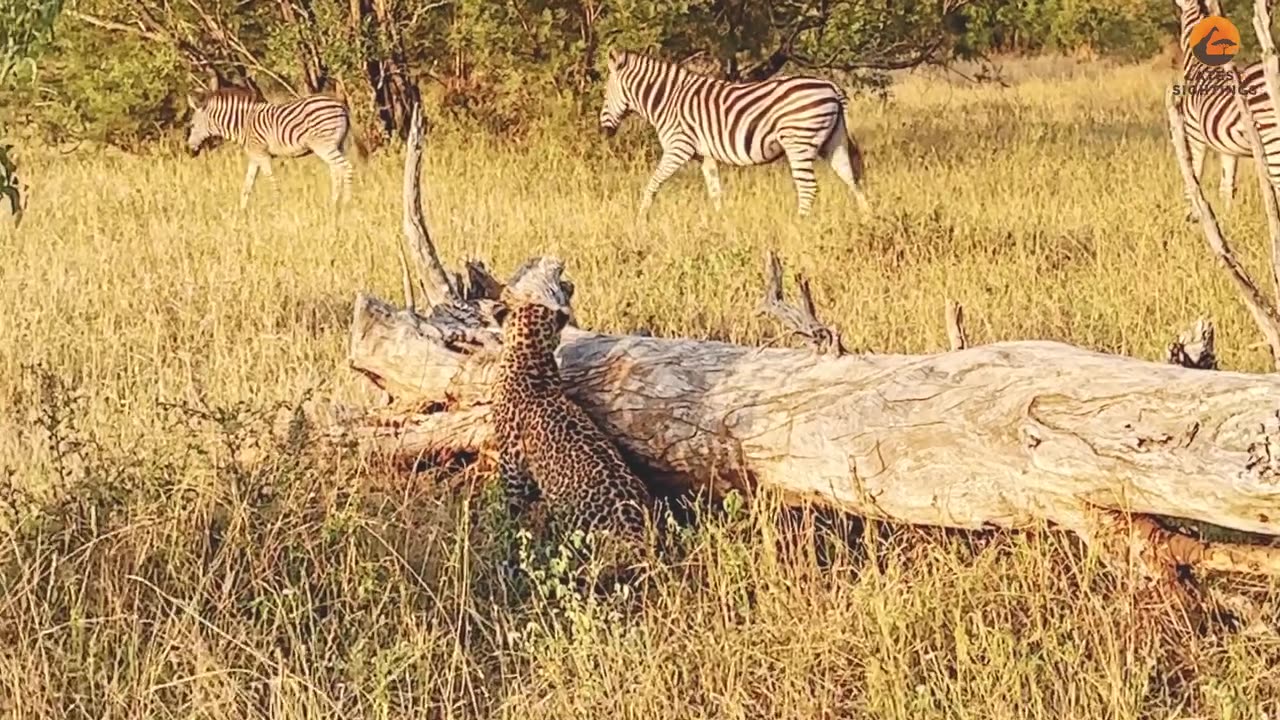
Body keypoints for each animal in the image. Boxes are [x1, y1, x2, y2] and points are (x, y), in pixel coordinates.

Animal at [184, 87, 360, 210]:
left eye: (192, 125)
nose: (189, 152)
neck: (243, 124)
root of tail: (341, 106)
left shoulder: (262, 154)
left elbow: (271, 180)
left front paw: (277, 205)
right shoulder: (254, 157)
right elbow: (247, 185)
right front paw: (242, 210)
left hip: (323, 145)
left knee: (346, 167)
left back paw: (346, 203)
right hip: (337, 145)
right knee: (336, 171)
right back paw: (333, 203)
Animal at [599, 48, 870, 215]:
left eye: (604, 93)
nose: (603, 132)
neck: (667, 100)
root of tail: (831, 87)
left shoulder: (678, 147)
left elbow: (653, 183)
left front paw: (641, 219)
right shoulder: (705, 155)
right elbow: (715, 192)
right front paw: (722, 224)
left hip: (799, 143)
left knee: (808, 188)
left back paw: (800, 225)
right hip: (833, 142)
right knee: (852, 180)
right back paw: (867, 219)